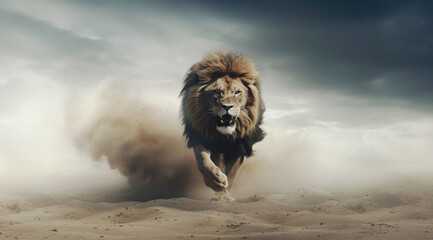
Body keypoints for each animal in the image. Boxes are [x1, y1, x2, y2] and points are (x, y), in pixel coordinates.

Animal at [179, 51, 264, 201]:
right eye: (217, 92)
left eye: (237, 92)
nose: (227, 107)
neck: (224, 135)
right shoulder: (202, 137)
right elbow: (203, 162)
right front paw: (217, 182)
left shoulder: (239, 146)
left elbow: (231, 175)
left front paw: (224, 196)